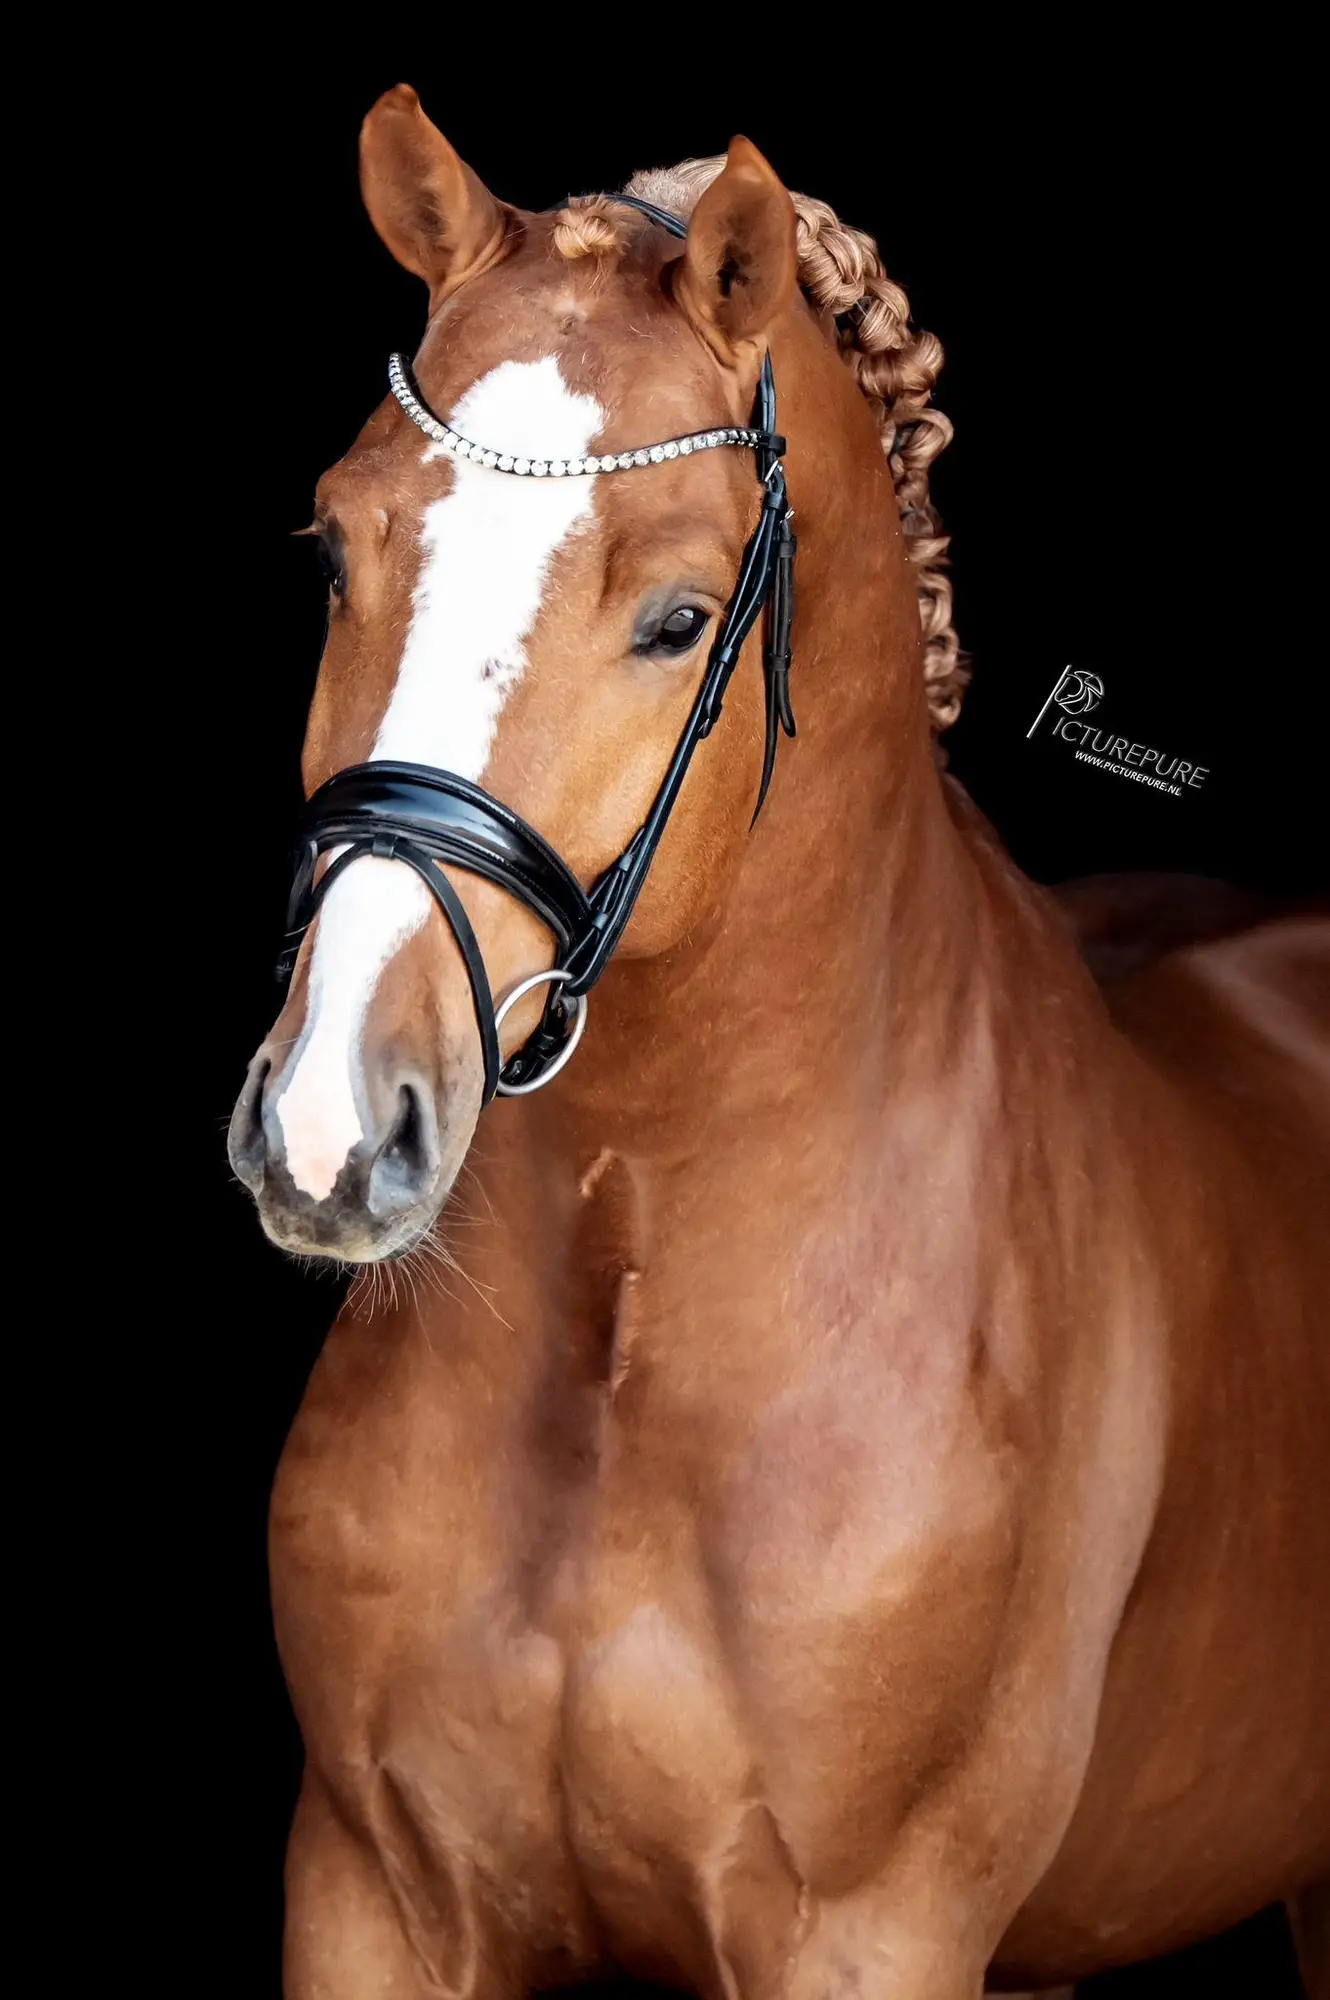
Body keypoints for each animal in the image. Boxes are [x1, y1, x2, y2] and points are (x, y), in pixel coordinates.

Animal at [227, 84, 1330, 1998]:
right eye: (333, 548)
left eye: (676, 619)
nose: (329, 1127)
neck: (627, 1329)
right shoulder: (372, 1897)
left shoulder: (868, 1935)